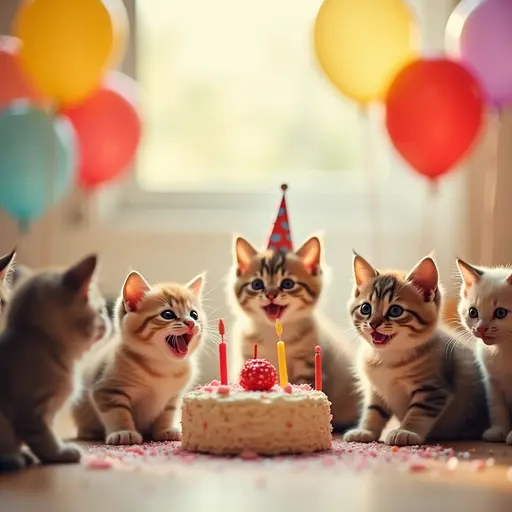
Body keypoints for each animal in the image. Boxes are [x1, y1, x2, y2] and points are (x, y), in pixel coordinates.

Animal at [0, 253, 107, 472]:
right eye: (101, 310)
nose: (108, 319)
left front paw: (26, 454)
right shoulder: (30, 414)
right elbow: (45, 439)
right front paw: (60, 453)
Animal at [73, 268, 205, 444]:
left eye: (194, 314)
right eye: (168, 314)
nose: (191, 323)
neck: (163, 367)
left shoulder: (173, 397)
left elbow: (167, 414)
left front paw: (166, 430)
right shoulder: (107, 390)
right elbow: (118, 413)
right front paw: (123, 432)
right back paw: (88, 432)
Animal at [228, 235, 360, 428]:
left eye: (287, 284)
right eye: (257, 284)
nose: (270, 295)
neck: (272, 333)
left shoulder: (306, 365)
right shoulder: (247, 355)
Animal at [344, 254, 488, 446]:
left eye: (395, 311)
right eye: (366, 308)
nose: (373, 324)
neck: (387, 358)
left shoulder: (433, 389)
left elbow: (418, 411)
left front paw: (406, 431)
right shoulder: (376, 390)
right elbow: (373, 410)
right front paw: (365, 430)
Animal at [456, 260, 512, 444]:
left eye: (500, 313)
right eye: (473, 312)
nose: (480, 329)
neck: (505, 349)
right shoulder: (491, 379)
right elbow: (497, 406)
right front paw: (498, 430)